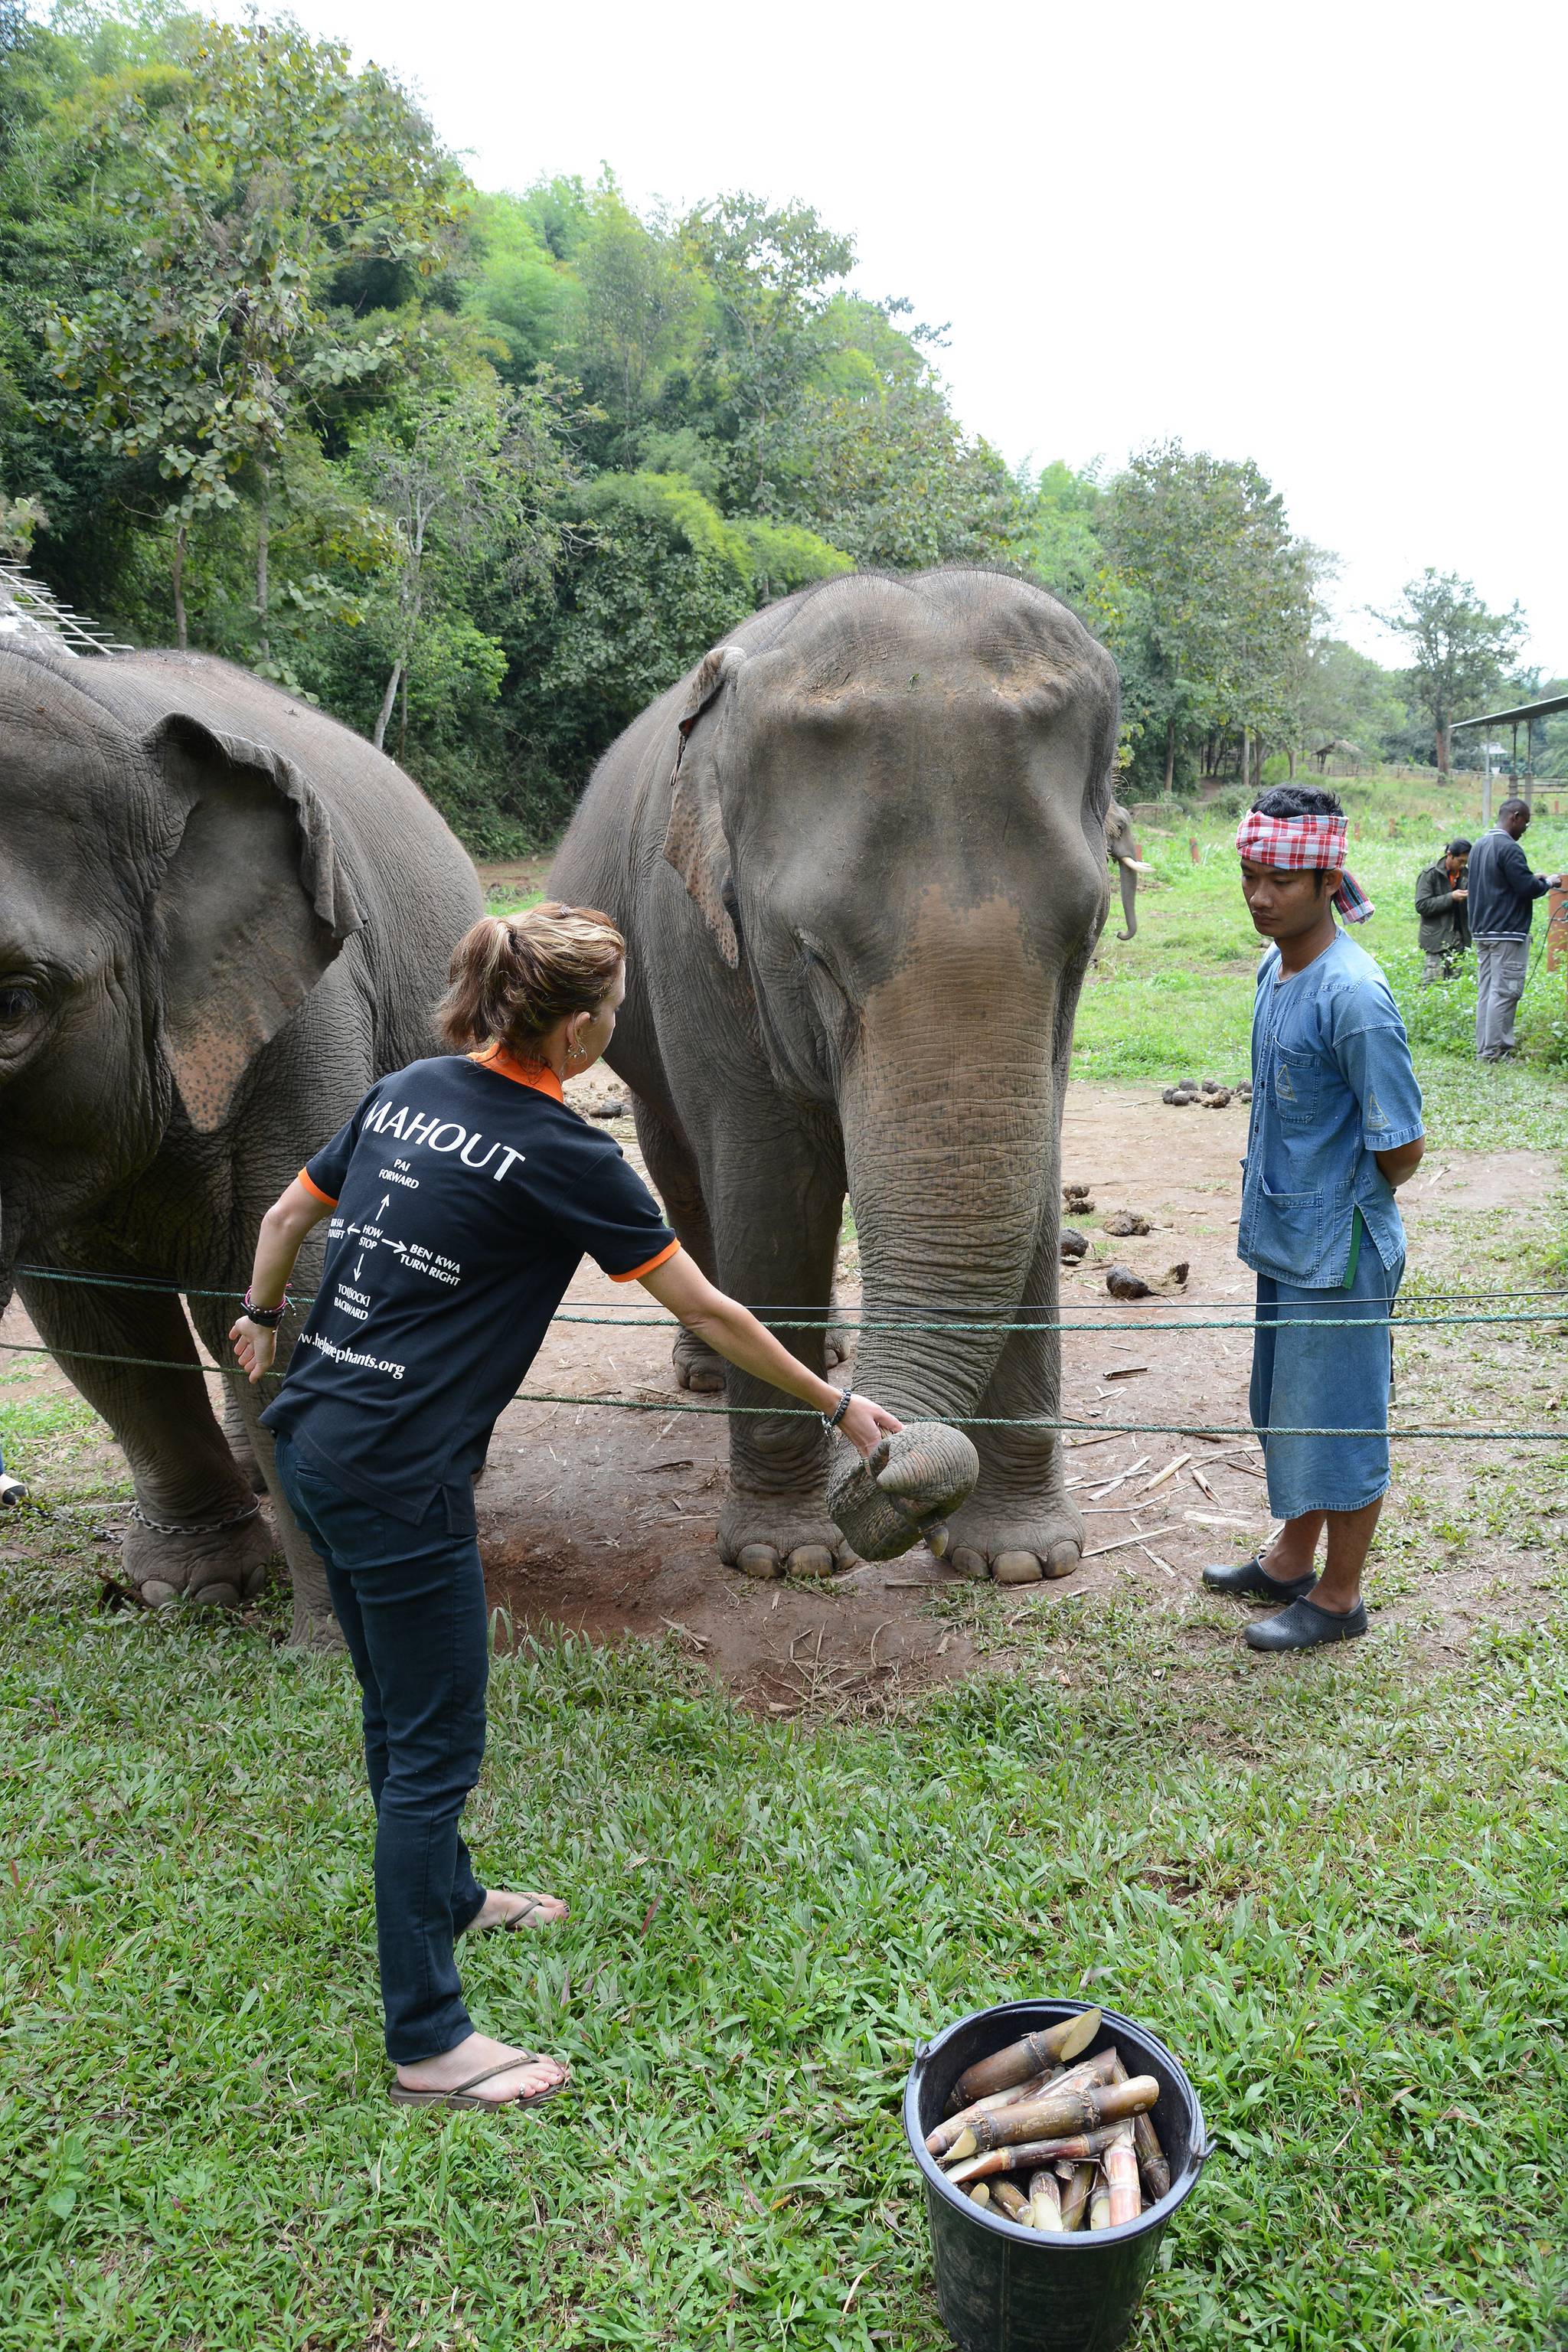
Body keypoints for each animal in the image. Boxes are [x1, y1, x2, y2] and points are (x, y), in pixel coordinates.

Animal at [552, 564, 1114, 1580]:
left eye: (1084, 940)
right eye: (813, 954)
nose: (885, 1451)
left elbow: (1030, 1194)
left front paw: (1020, 1561)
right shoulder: (696, 941)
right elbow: (771, 1197)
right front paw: (786, 1559)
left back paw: (836, 1357)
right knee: (680, 1166)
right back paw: (711, 1372)